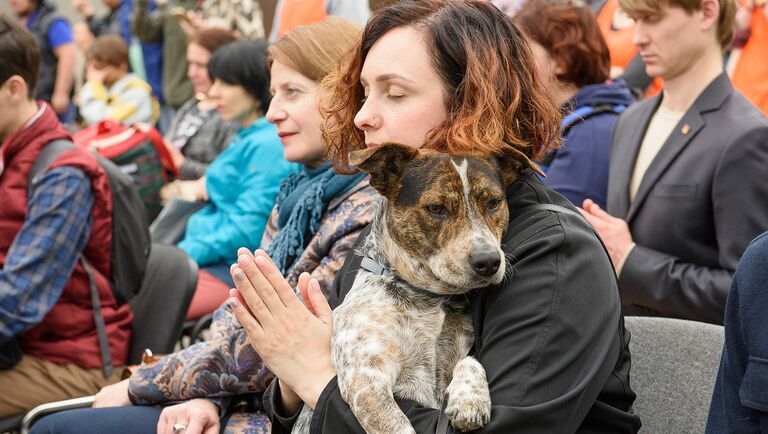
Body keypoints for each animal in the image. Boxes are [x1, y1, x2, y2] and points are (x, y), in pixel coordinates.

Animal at [292, 143, 532, 434]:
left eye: (494, 202)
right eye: (436, 208)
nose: (488, 261)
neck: (427, 297)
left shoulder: (463, 350)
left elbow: (470, 360)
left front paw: (469, 400)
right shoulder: (365, 376)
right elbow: (398, 425)